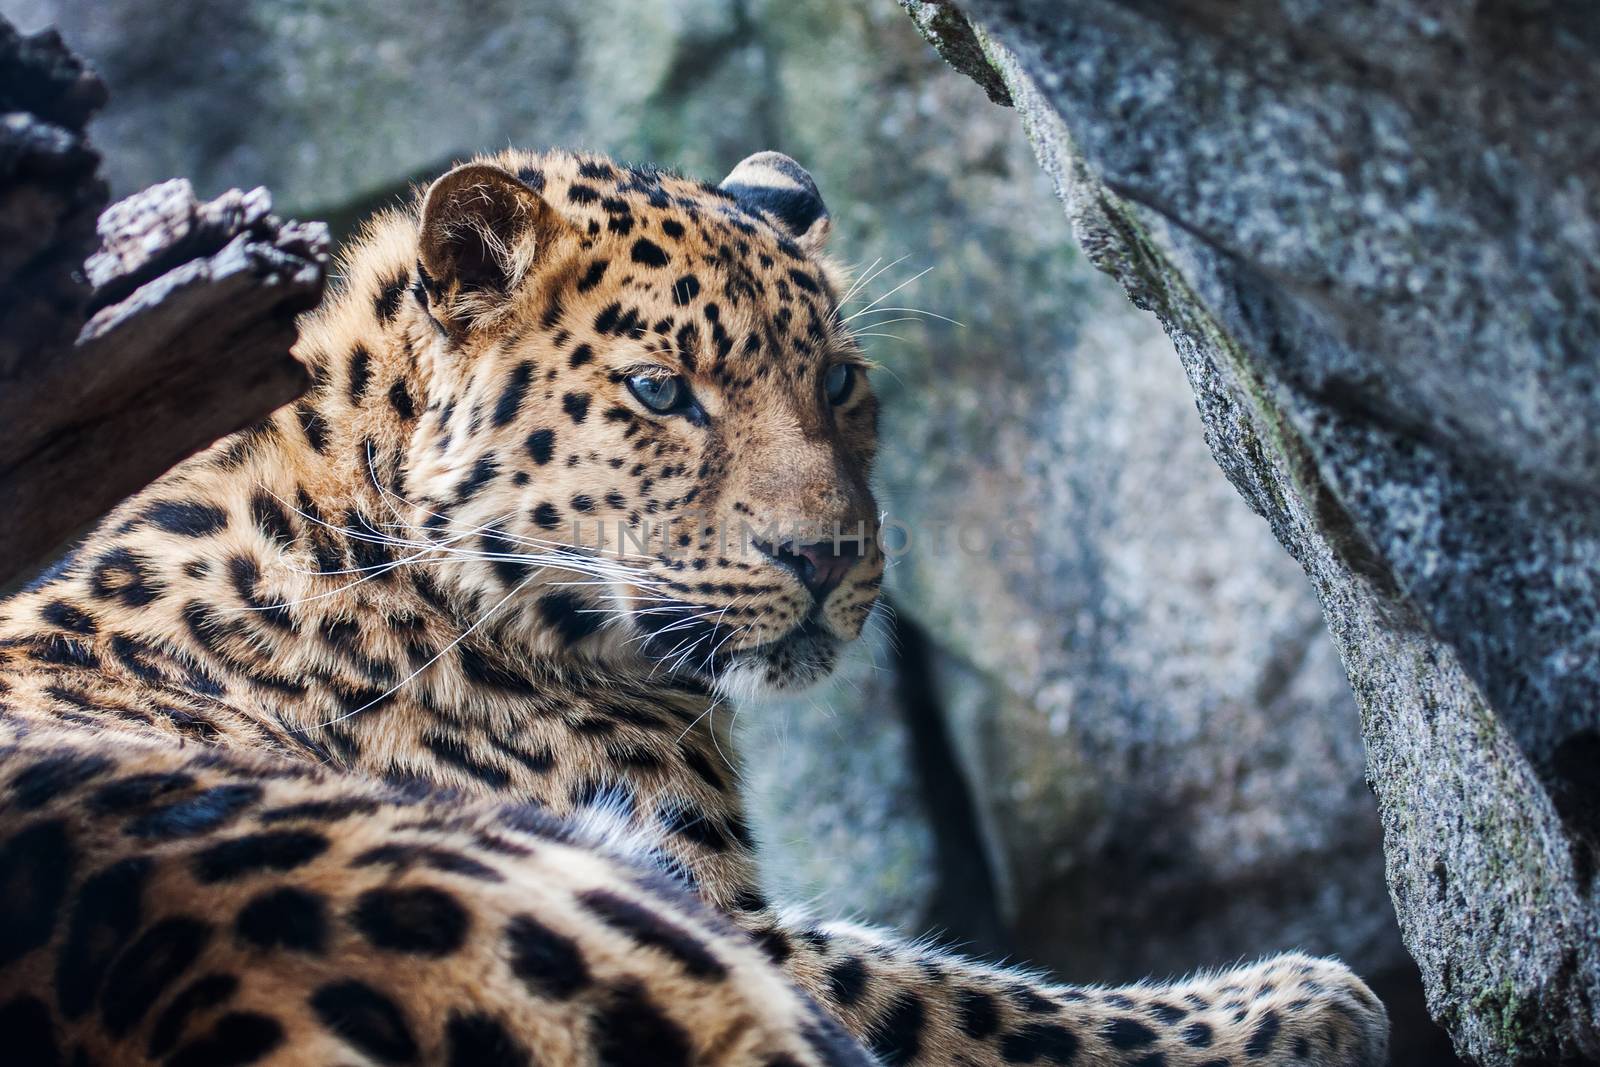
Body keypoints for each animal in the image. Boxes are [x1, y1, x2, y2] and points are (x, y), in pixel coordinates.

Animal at [0, 147, 1388, 1067]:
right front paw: (1302, 1003)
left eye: (838, 381)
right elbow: (972, 997)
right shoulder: (736, 920)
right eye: (661, 390)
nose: (827, 553)